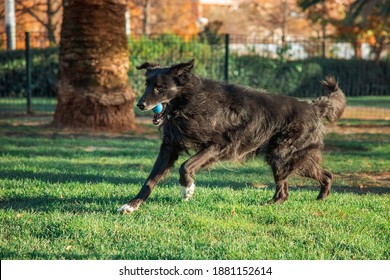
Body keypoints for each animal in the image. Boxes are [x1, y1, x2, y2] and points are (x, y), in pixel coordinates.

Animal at [117, 58, 346, 213]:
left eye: (160, 88)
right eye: (147, 85)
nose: (140, 105)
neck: (189, 101)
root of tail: (313, 106)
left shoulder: (219, 145)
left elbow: (186, 166)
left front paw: (187, 189)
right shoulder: (169, 147)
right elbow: (150, 180)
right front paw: (131, 205)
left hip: (283, 155)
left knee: (313, 178)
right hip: (282, 157)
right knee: (298, 185)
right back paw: (297, 201)